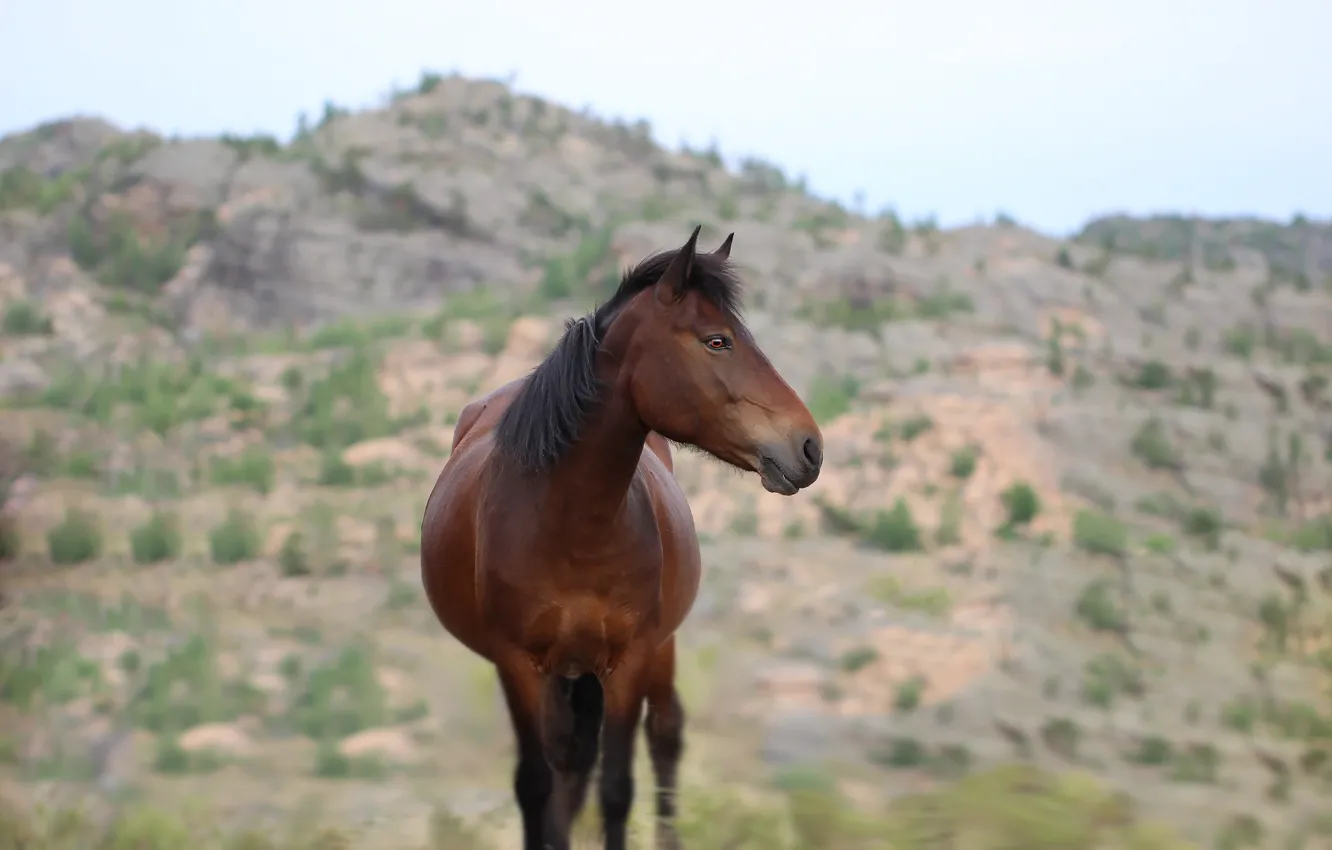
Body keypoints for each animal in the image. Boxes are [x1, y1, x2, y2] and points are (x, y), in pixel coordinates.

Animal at [423, 226, 820, 850]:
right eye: (718, 341)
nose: (809, 447)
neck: (570, 527)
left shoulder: (629, 662)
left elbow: (616, 789)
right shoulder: (517, 665)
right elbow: (537, 785)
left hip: (654, 655)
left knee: (664, 737)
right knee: (566, 765)